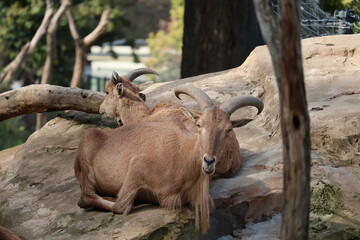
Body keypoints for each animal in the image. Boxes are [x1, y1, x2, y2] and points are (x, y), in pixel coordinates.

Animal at [74, 85, 262, 232]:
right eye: (199, 125)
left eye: (228, 129)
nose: (208, 162)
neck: (183, 154)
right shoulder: (136, 168)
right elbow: (120, 205)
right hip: (86, 163)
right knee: (87, 194)